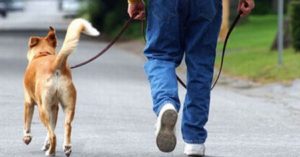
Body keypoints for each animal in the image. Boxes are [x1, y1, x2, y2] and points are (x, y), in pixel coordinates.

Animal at [22, 18, 99, 156]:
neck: (43, 53)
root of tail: (55, 64)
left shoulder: (29, 102)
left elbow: (27, 122)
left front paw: (27, 137)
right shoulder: (55, 107)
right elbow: (51, 129)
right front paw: (46, 144)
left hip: (43, 109)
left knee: (53, 135)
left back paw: (51, 152)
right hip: (68, 106)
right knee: (66, 126)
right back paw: (66, 147)